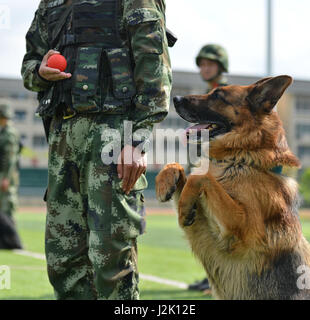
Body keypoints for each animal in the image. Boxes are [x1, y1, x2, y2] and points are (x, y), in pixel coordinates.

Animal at [156, 76, 310, 298]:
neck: (241, 158)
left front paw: (184, 207)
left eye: (218, 95)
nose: (175, 98)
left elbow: (201, 177)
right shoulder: (206, 235)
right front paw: (164, 183)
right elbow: (178, 166)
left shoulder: (242, 228)